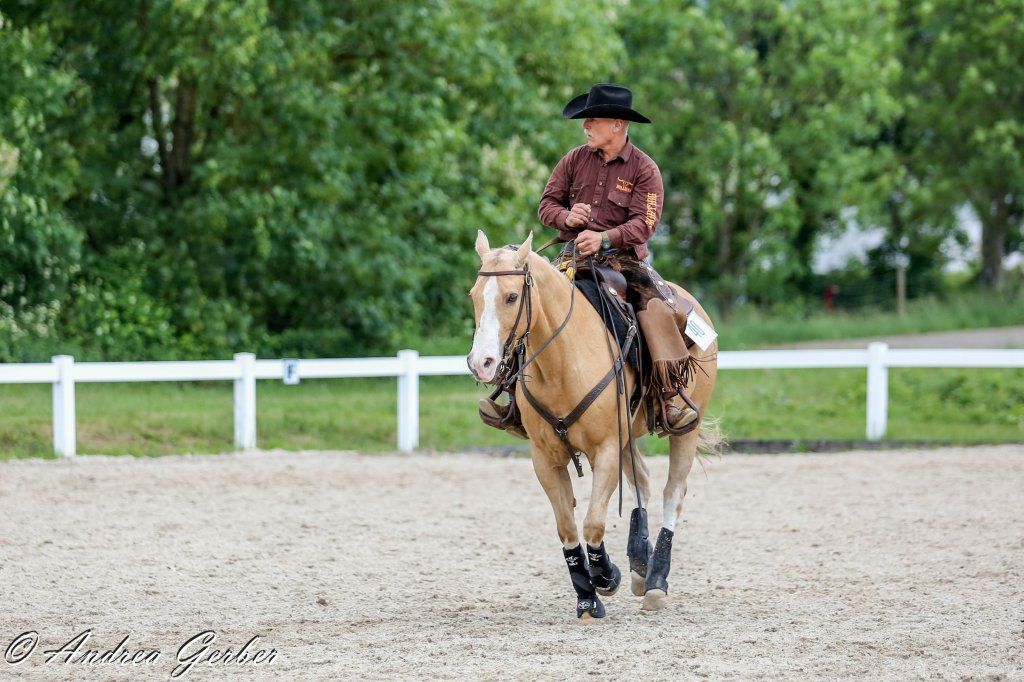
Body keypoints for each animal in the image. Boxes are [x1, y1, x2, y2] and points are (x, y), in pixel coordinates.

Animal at [467, 230, 720, 620]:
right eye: (474, 296)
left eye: (511, 296)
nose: (481, 363)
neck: (563, 363)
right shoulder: (545, 459)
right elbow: (568, 528)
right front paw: (587, 596)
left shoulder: (606, 449)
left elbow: (594, 523)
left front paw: (606, 575)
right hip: (629, 433)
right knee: (643, 481)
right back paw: (639, 565)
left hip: (686, 430)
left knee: (673, 493)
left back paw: (656, 581)